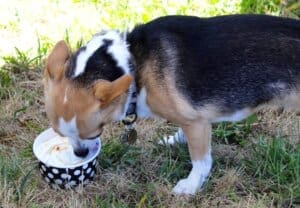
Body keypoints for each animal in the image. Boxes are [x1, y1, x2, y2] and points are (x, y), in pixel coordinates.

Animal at [43, 14, 298, 195]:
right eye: (59, 134)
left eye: (96, 131)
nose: (80, 153)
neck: (135, 62)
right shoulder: (193, 121)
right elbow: (184, 132)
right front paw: (175, 140)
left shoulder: (196, 123)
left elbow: (201, 161)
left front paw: (191, 186)